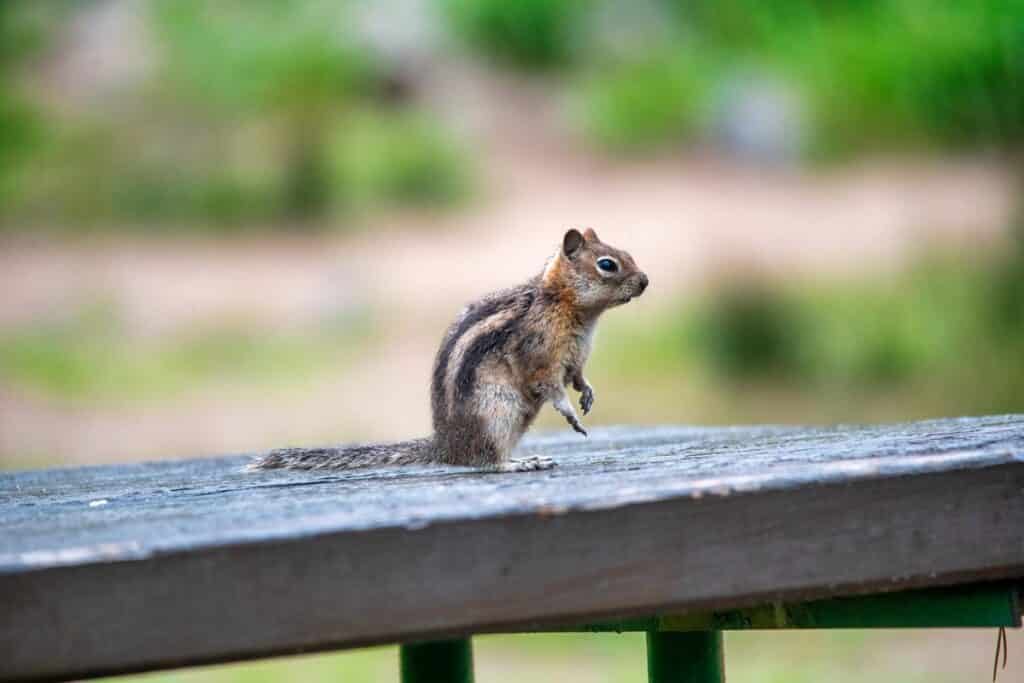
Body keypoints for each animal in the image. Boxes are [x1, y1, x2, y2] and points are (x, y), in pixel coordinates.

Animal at [249, 227, 647, 473]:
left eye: (626, 253)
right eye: (607, 264)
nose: (645, 281)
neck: (566, 306)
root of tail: (445, 447)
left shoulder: (575, 358)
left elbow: (577, 376)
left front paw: (588, 394)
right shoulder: (538, 354)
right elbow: (550, 386)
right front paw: (571, 414)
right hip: (495, 414)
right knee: (484, 462)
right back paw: (520, 463)